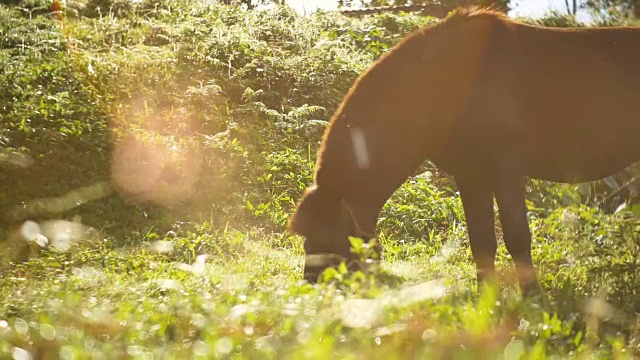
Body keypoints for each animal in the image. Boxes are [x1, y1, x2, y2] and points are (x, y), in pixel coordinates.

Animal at [288, 8, 640, 294]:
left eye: (327, 234)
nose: (311, 286)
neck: (445, 81)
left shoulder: (506, 169)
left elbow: (517, 236)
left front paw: (532, 297)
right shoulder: (469, 173)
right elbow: (481, 241)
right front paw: (487, 301)